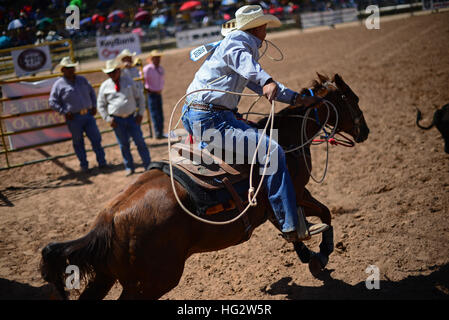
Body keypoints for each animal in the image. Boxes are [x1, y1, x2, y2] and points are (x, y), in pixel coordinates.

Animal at [39, 74, 368, 298]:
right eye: (353, 99)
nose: (364, 131)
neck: (286, 139)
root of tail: (110, 219)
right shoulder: (296, 190)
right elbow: (323, 214)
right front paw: (321, 253)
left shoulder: (275, 204)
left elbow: (292, 225)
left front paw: (307, 255)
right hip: (154, 281)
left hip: (107, 276)